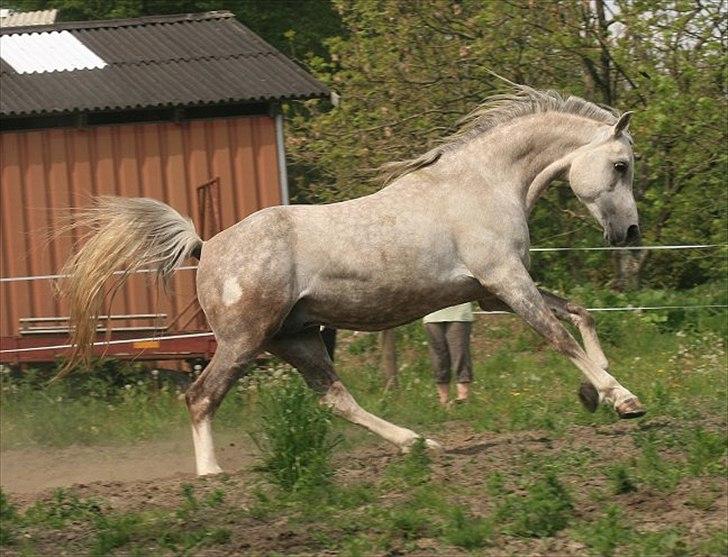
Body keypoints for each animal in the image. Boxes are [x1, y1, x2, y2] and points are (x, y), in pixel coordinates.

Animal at [61, 86, 644, 474]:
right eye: (620, 165)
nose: (631, 232)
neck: (483, 183)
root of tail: (208, 247)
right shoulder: (505, 282)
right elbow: (559, 336)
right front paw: (621, 397)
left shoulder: (489, 294)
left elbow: (579, 314)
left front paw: (599, 387)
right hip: (244, 340)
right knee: (201, 397)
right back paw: (211, 479)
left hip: (294, 338)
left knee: (335, 398)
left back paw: (419, 444)